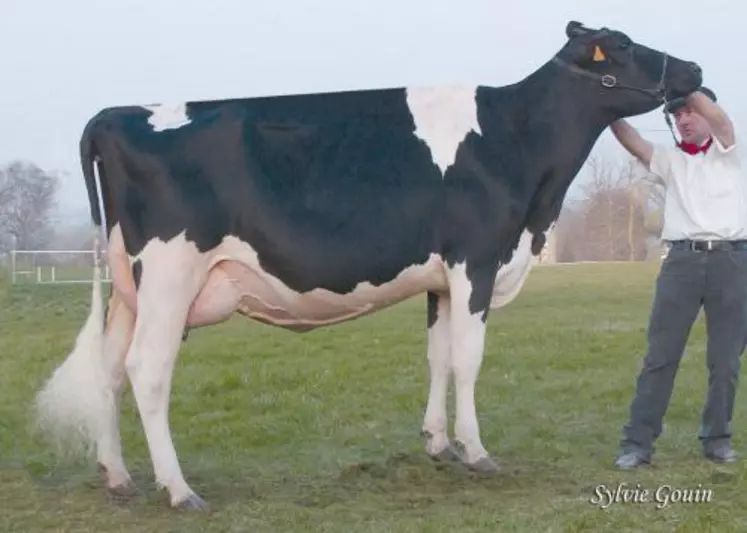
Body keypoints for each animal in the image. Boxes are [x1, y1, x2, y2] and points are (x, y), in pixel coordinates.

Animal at [33, 20, 700, 510]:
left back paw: (118, 477)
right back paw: (179, 490)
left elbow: (438, 356)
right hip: (170, 277)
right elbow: (468, 360)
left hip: (130, 287)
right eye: (622, 45)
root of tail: (115, 114)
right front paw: (477, 451)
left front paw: (438, 445)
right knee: (147, 372)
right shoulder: (476, 261)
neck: (517, 145)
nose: (694, 71)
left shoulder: (441, 277)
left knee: (110, 370)